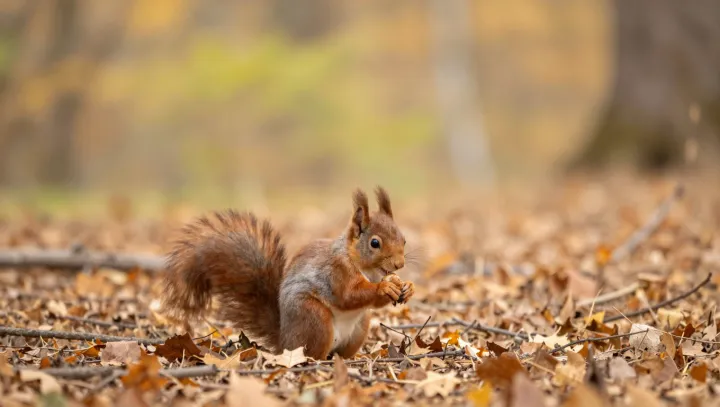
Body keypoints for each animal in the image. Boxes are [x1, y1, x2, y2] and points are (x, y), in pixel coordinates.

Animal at [160, 186, 414, 360]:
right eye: (374, 243)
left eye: (404, 239)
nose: (400, 264)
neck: (365, 268)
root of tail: (285, 341)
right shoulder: (335, 272)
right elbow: (348, 296)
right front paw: (384, 287)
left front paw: (406, 288)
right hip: (314, 318)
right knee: (313, 351)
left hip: (360, 326)